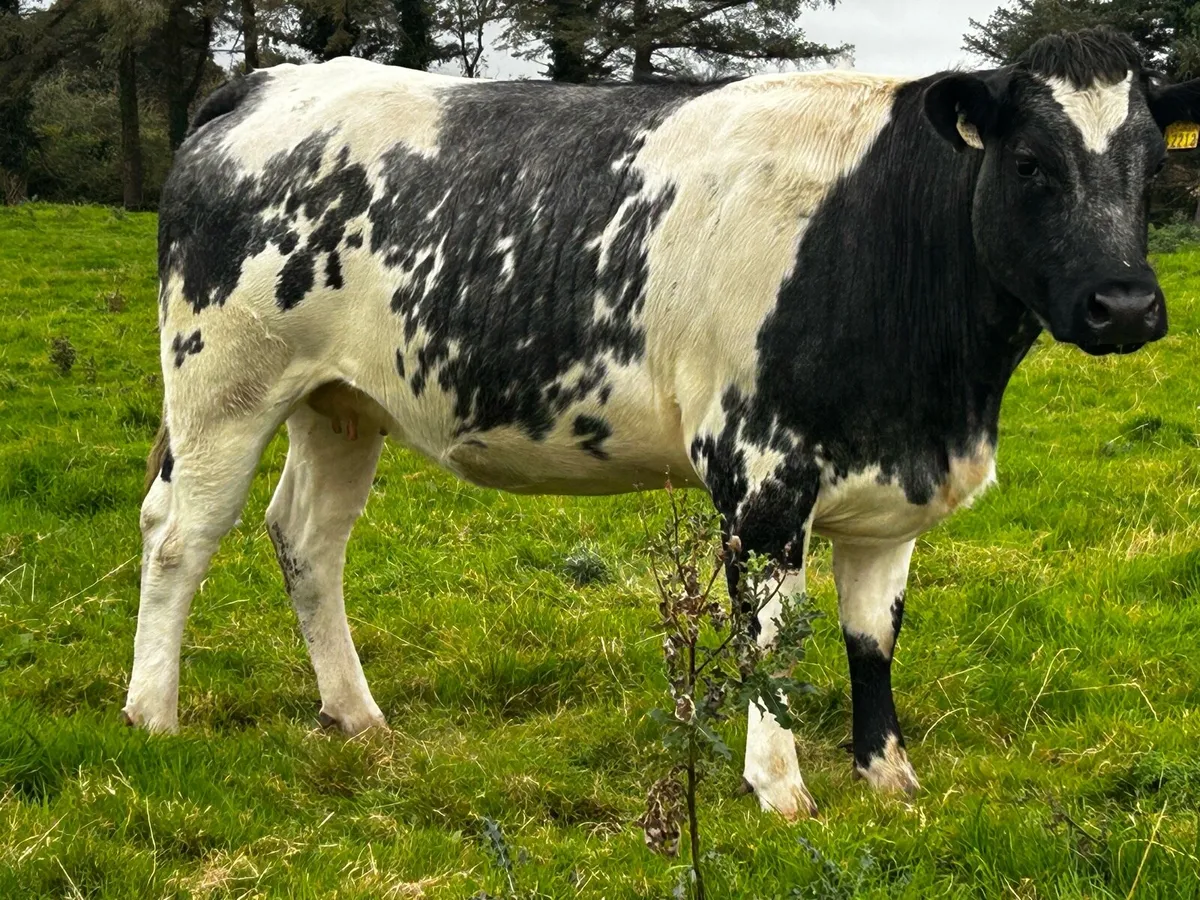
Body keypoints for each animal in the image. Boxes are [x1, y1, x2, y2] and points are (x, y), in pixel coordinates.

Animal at [127, 27, 1200, 820]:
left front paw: (888, 776)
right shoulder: (759, 470)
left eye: (1151, 166)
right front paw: (781, 788)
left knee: (307, 538)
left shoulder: (894, 483)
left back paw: (357, 716)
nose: (1125, 305)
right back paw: (152, 716)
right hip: (221, 382)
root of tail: (267, 85)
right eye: (1029, 163)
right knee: (179, 535)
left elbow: (872, 637)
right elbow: (770, 636)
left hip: (341, 403)